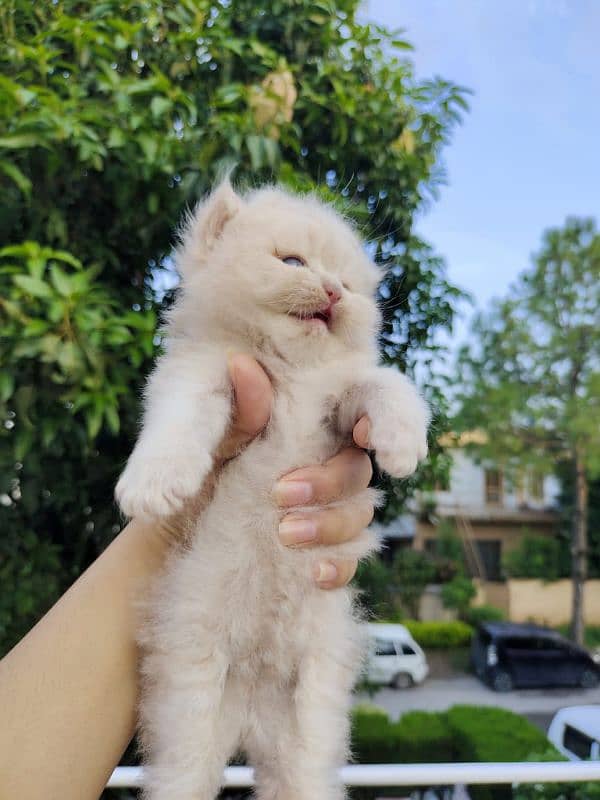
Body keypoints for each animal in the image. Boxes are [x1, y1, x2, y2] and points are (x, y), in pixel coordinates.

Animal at [115, 181, 428, 800]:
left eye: (347, 282)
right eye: (293, 262)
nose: (333, 291)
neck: (293, 372)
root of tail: (248, 718)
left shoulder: (341, 405)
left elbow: (385, 382)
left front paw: (403, 442)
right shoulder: (210, 371)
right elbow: (181, 413)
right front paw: (155, 481)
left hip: (307, 724)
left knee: (304, 775)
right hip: (191, 701)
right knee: (182, 773)